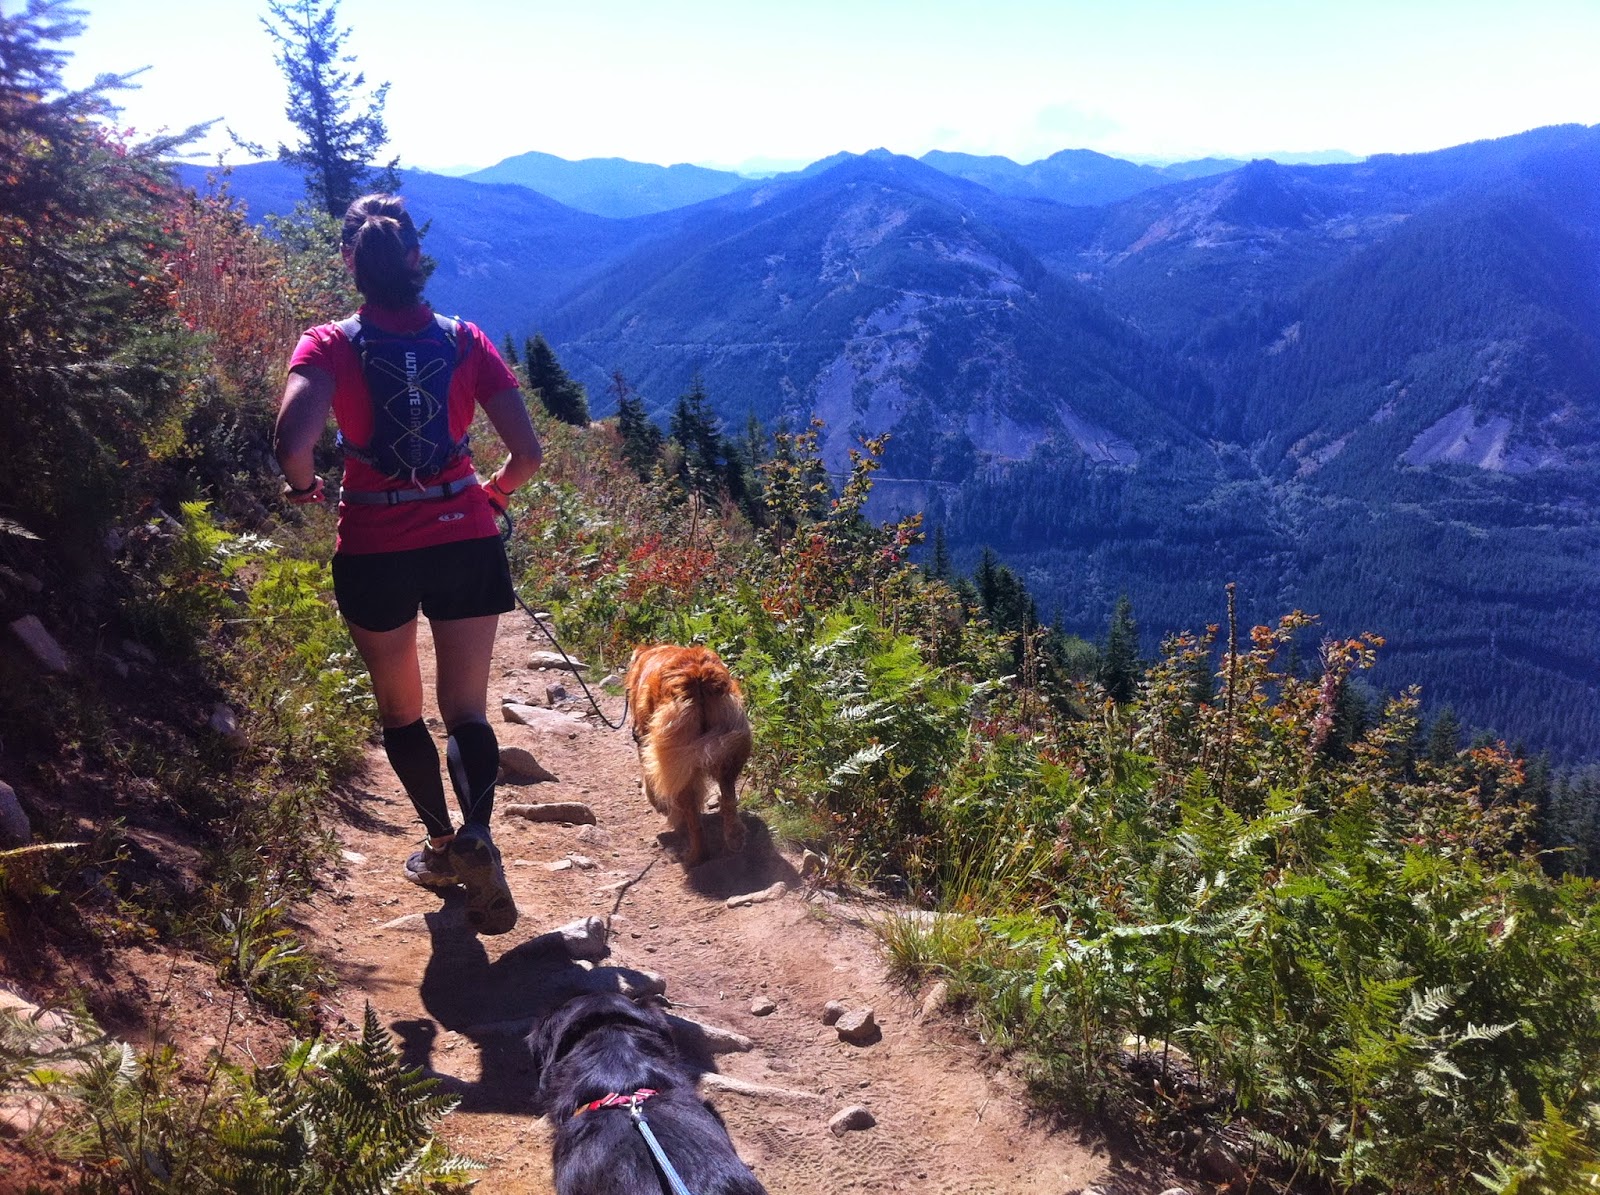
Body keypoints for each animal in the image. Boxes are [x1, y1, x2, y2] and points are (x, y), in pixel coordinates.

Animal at [624, 644, 752, 867]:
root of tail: (698, 676)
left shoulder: (643, 740)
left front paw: (658, 804)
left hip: (675, 759)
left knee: (694, 819)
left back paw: (693, 857)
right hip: (728, 745)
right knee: (728, 798)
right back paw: (735, 838)